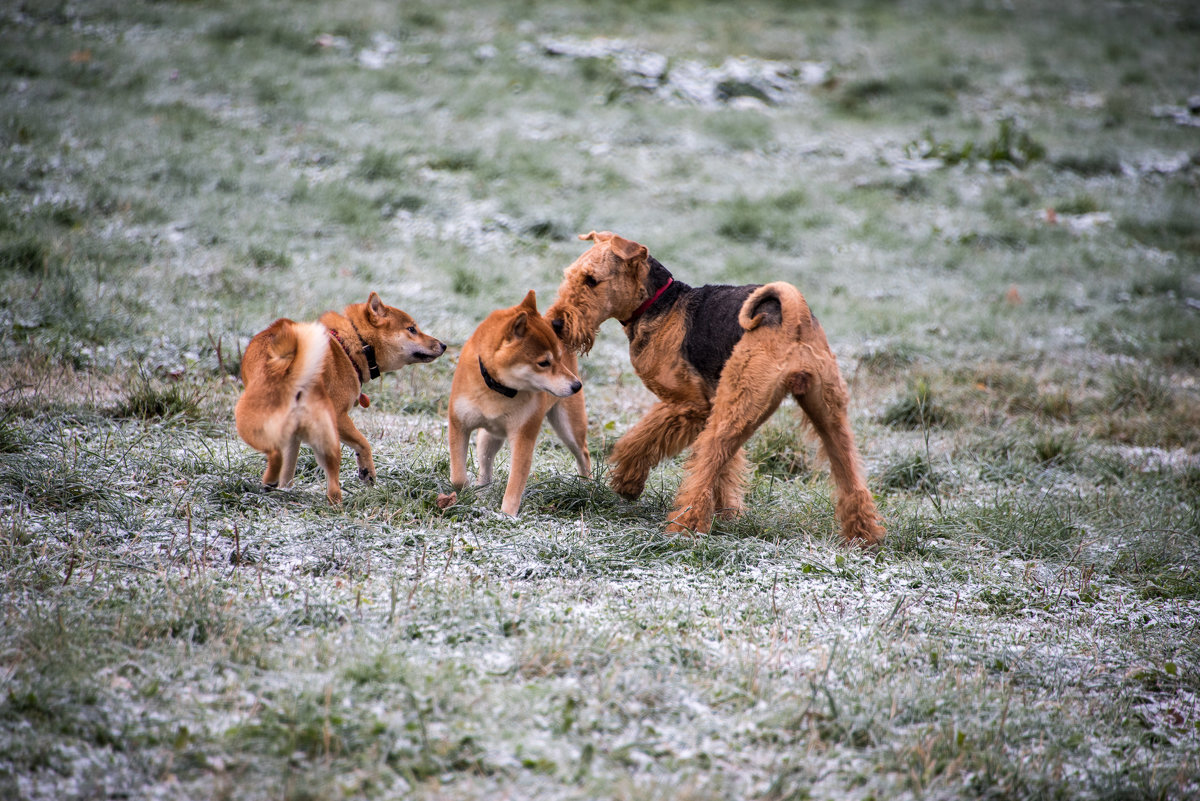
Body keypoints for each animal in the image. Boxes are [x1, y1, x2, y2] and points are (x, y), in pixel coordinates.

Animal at [234, 291, 446, 503]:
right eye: (412, 329)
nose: (443, 345)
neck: (351, 346)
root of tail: (289, 368)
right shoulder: (340, 416)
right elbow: (364, 443)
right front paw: (367, 472)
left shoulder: (294, 435)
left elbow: (289, 469)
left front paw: (285, 491)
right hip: (327, 433)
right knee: (332, 485)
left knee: (276, 453)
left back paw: (271, 484)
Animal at [446, 291, 590, 515]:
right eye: (543, 363)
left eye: (559, 357)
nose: (576, 385)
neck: (497, 389)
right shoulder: (459, 424)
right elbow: (458, 476)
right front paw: (465, 493)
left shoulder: (523, 437)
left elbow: (514, 486)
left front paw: (506, 516)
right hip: (487, 439)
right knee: (486, 467)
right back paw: (481, 491)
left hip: (569, 428)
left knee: (583, 454)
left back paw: (588, 487)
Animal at [549, 227, 888, 546]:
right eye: (570, 276)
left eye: (591, 280)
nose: (555, 324)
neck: (660, 304)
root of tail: (793, 320)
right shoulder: (710, 404)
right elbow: (727, 470)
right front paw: (728, 513)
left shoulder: (689, 406)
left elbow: (641, 441)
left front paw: (627, 482)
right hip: (825, 412)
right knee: (850, 476)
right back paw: (865, 537)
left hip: (735, 409)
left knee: (705, 467)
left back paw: (683, 527)